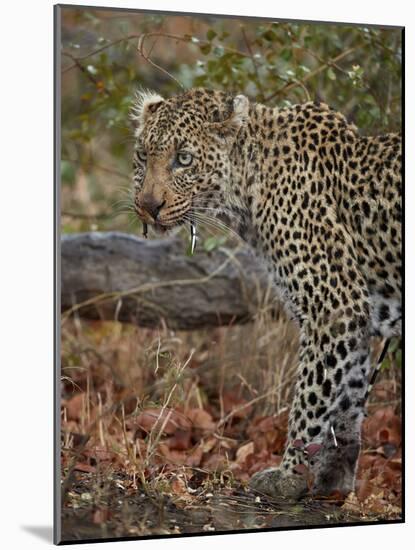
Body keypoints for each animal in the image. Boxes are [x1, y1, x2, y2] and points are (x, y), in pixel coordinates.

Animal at [131, 86, 404, 500]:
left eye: (184, 159)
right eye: (143, 156)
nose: (149, 206)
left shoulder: (334, 306)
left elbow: (312, 395)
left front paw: (287, 475)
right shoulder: (356, 316)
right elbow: (347, 400)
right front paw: (334, 480)